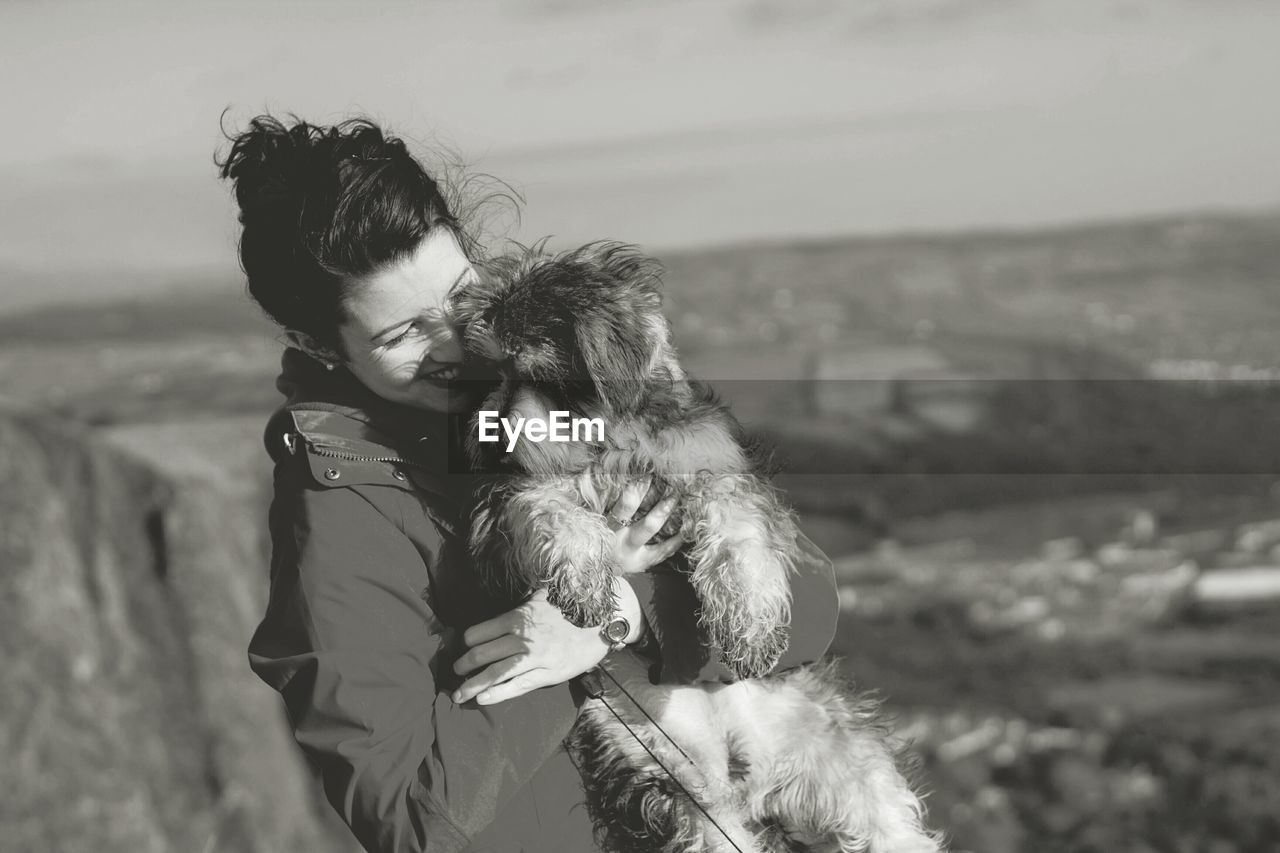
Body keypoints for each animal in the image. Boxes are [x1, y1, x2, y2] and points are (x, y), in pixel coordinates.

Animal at [455, 240, 936, 850]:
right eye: (484, 375)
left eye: (540, 373)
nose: (486, 440)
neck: (609, 443)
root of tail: (748, 780)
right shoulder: (506, 501)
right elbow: (549, 511)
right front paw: (585, 580)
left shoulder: (717, 473)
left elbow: (737, 533)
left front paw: (750, 627)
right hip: (677, 793)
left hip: (850, 765)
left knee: (889, 824)